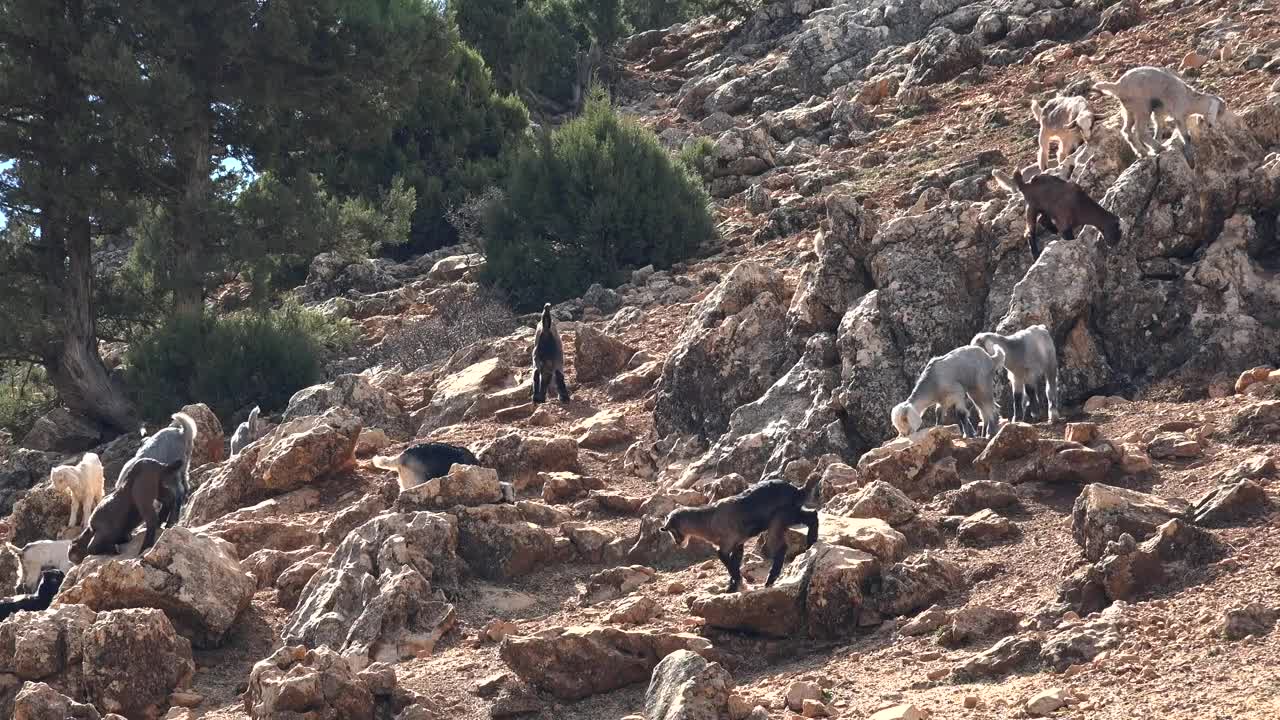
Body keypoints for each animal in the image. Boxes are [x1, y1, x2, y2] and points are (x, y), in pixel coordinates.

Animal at [661, 476, 820, 593]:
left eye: (672, 530)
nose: (677, 543)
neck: (708, 520)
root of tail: (797, 490)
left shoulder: (724, 548)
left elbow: (731, 567)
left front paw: (739, 584)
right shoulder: (738, 545)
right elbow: (735, 564)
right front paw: (732, 588)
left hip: (777, 522)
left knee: (781, 548)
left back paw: (770, 580)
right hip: (793, 514)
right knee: (812, 515)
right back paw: (811, 542)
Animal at [992, 167, 1122, 259]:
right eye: (1115, 232)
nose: (1114, 245)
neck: (1081, 205)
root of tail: (1025, 185)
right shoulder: (1064, 223)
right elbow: (1068, 237)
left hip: (1045, 209)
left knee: (1042, 220)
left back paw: (1053, 231)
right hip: (1032, 207)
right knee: (1030, 232)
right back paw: (1036, 254)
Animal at [1093, 66, 1232, 157]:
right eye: (1219, 112)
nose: (1211, 126)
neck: (1190, 100)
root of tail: (1118, 85)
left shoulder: (1160, 113)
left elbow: (1159, 128)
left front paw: (1157, 142)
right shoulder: (1178, 112)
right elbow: (1185, 135)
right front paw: (1188, 151)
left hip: (1129, 109)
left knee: (1127, 130)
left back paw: (1143, 152)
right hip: (1142, 107)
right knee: (1140, 131)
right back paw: (1158, 147)